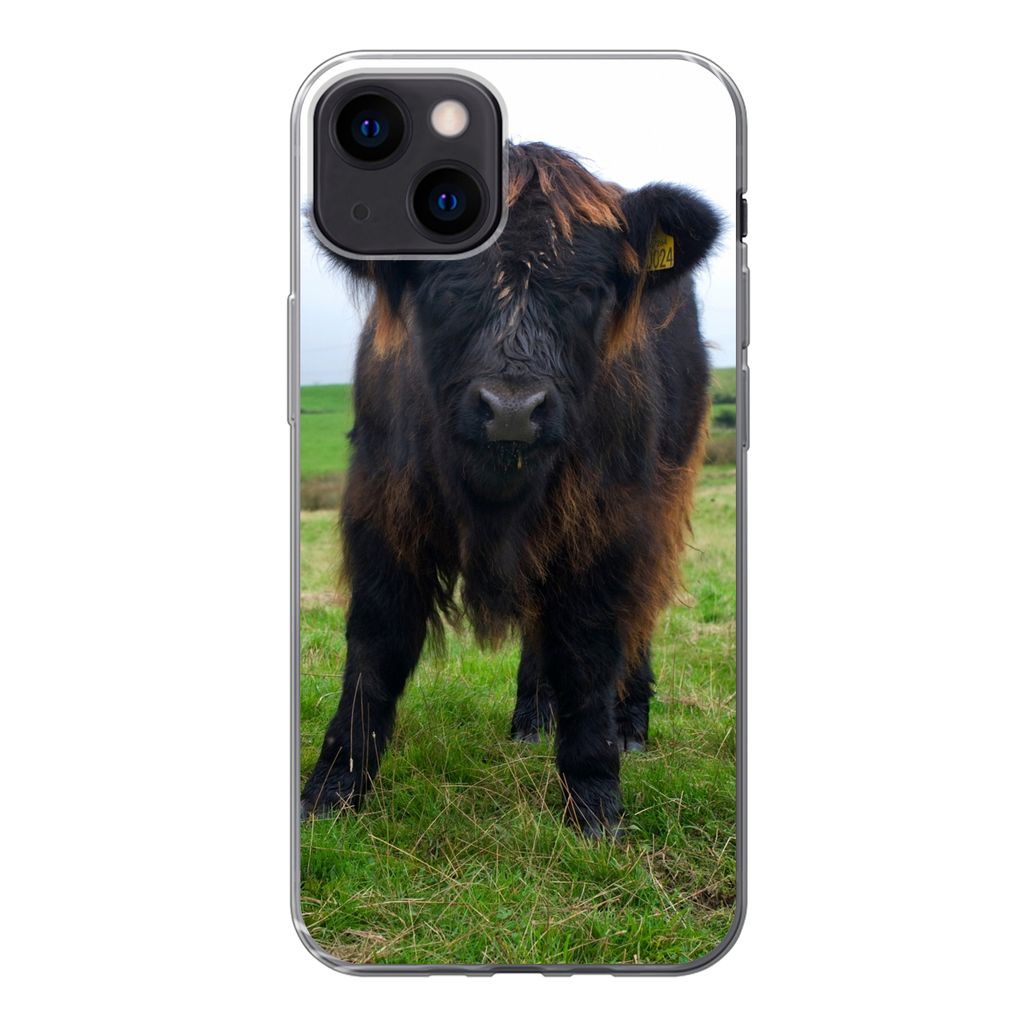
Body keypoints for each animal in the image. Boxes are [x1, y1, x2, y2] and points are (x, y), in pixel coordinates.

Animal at [301, 143, 723, 836]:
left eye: (587, 291)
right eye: (446, 287)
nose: (512, 410)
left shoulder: (609, 523)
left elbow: (590, 649)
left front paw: (595, 801)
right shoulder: (383, 509)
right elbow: (375, 644)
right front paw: (331, 790)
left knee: (638, 616)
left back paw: (631, 724)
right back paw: (530, 716)